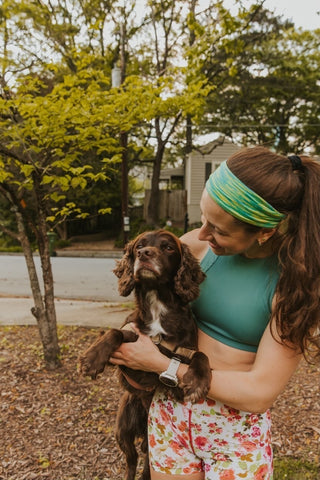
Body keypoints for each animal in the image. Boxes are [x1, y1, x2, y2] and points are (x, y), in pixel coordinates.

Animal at [79, 231, 211, 478]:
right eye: (138, 246)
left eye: (168, 247)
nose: (144, 254)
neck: (158, 305)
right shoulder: (127, 354)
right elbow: (115, 332)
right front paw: (92, 359)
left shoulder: (181, 359)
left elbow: (200, 356)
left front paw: (198, 381)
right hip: (122, 430)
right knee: (131, 463)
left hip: (148, 445)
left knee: (145, 468)